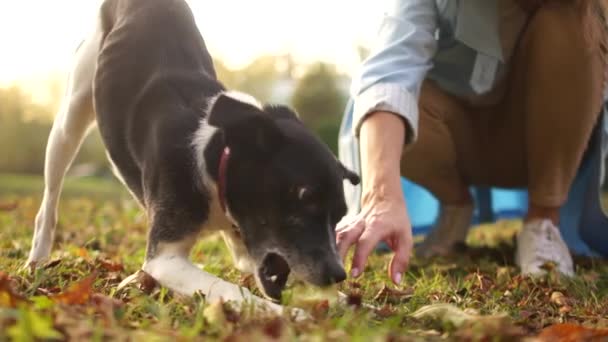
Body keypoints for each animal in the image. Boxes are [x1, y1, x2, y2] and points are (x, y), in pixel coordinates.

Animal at [26, 0, 358, 316]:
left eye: (341, 215)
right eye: (304, 198)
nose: (337, 274)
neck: (214, 156)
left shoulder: (243, 246)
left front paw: (344, 302)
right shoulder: (164, 258)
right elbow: (231, 290)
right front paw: (290, 315)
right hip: (69, 120)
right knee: (49, 202)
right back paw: (37, 260)